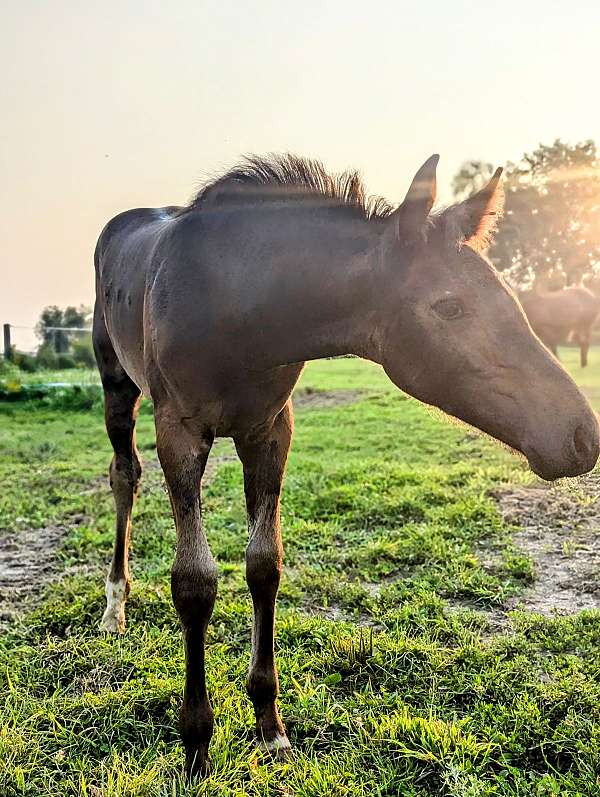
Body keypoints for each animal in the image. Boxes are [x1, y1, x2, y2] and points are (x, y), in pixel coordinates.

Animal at [94, 152, 600, 776]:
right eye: (449, 306)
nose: (581, 436)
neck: (236, 303)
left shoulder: (270, 430)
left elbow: (264, 564)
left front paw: (269, 722)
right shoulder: (180, 432)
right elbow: (194, 582)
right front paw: (196, 743)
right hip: (117, 383)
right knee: (125, 475)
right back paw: (115, 606)